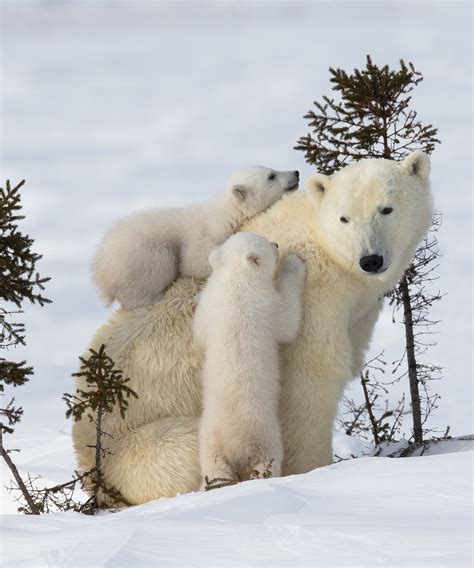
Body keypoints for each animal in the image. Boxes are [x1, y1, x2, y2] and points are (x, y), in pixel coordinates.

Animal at [93, 165, 300, 306]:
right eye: (271, 175)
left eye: (271, 169)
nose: (296, 173)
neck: (225, 212)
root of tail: (102, 277)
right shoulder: (205, 233)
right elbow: (195, 261)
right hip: (141, 257)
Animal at [194, 232, 306, 488]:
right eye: (267, 243)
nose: (277, 244)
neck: (236, 280)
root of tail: (234, 445)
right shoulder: (266, 304)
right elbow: (288, 321)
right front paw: (293, 263)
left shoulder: (210, 305)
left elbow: (199, 331)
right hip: (264, 434)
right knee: (268, 460)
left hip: (209, 443)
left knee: (214, 469)